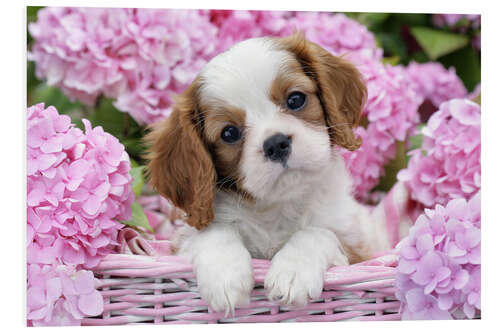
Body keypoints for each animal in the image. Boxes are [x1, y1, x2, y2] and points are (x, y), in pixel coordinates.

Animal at [146, 33, 396, 314]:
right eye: (229, 133)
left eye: (295, 99)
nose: (276, 144)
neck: (277, 207)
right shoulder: (181, 241)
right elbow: (213, 233)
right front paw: (224, 274)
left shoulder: (358, 250)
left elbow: (317, 232)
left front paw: (293, 272)